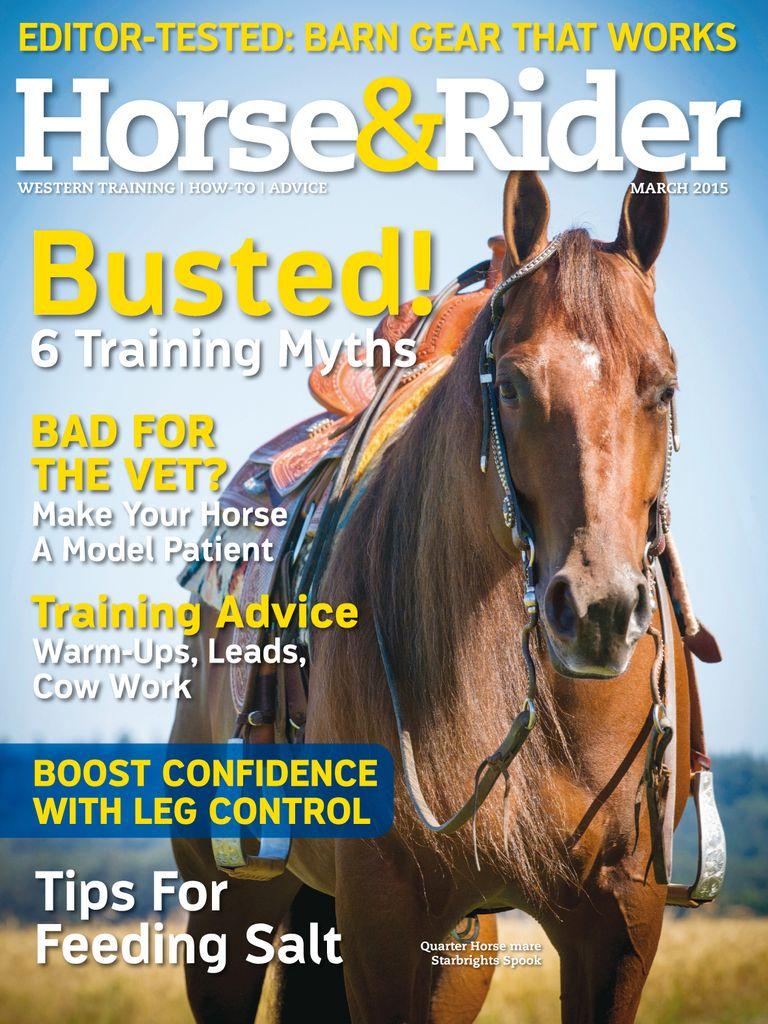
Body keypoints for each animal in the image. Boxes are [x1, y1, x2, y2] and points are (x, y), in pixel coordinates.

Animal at [172, 168, 693, 1024]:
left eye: (663, 387)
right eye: (510, 384)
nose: (597, 613)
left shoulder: (622, 918)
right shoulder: (382, 913)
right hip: (226, 906)